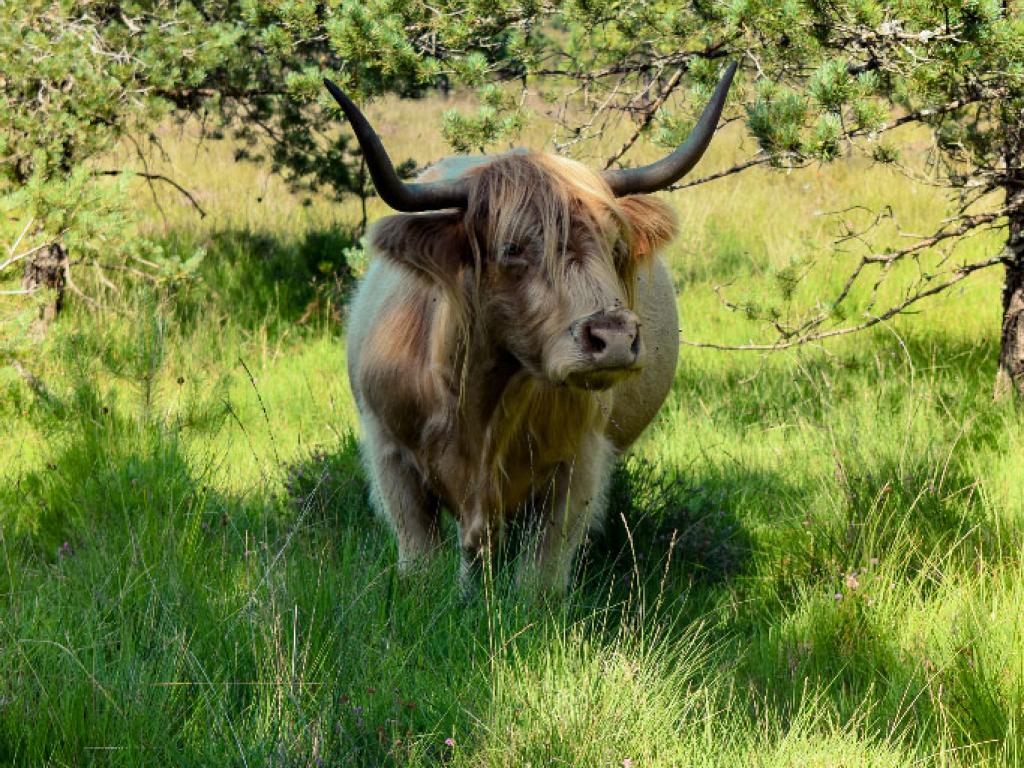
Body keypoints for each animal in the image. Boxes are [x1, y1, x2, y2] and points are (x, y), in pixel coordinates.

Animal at [323, 66, 733, 593]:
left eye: (616, 247)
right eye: (513, 247)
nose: (614, 339)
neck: (479, 399)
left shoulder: (578, 462)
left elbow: (539, 578)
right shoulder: (390, 453)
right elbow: (421, 563)